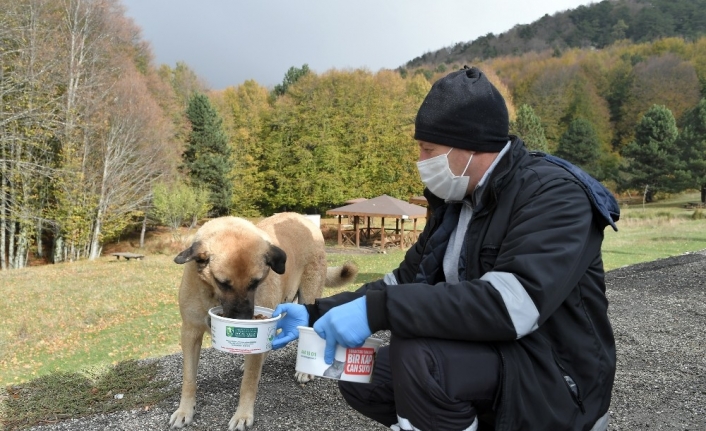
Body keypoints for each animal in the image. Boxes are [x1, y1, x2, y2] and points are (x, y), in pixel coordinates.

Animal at [167, 214, 354, 430]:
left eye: (255, 282)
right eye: (223, 283)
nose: (242, 320)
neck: (213, 295)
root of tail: (302, 218)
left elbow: (248, 383)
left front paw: (242, 414)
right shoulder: (190, 333)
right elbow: (189, 379)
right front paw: (184, 411)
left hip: (308, 297)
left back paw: (303, 371)